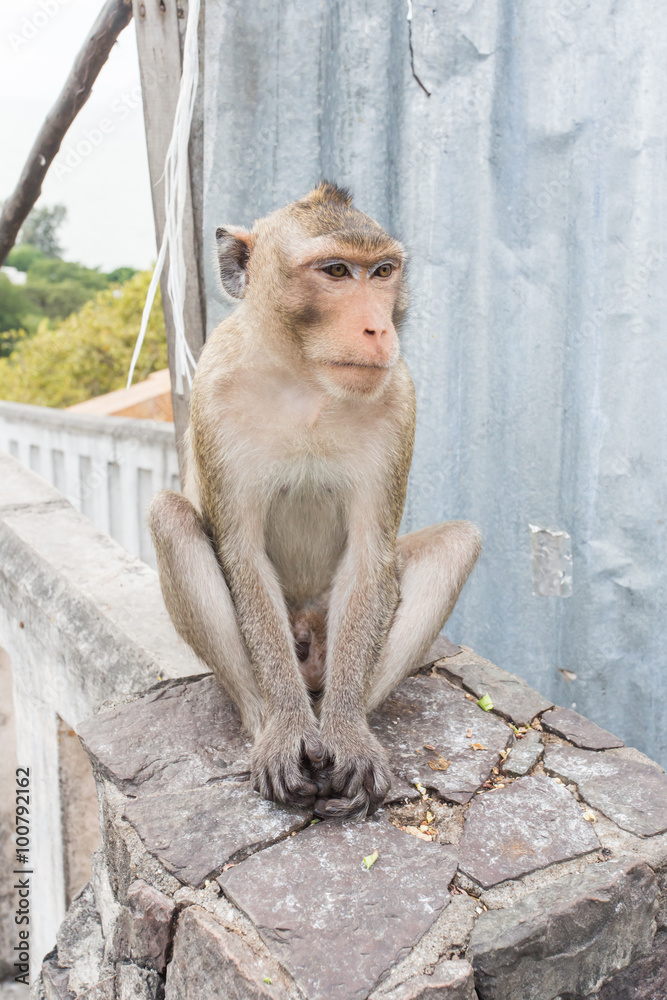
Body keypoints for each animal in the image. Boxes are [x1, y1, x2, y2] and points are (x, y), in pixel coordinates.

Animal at [147, 182, 480, 820]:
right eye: (335, 271)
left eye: (382, 272)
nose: (379, 328)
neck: (306, 379)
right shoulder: (213, 396)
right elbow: (242, 555)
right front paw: (285, 730)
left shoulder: (398, 398)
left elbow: (370, 557)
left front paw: (349, 733)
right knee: (169, 516)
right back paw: (270, 724)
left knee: (457, 543)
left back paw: (342, 726)